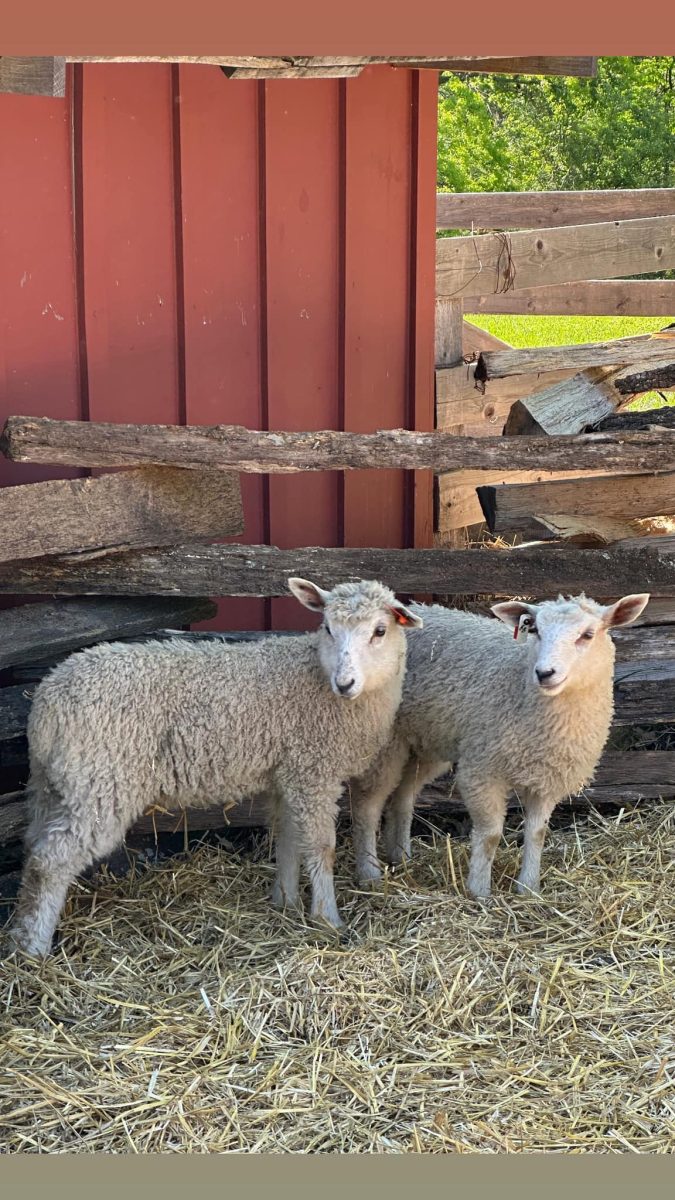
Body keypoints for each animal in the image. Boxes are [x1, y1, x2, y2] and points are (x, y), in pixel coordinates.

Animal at [8, 576, 423, 957]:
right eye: (327, 628)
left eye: (380, 631)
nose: (345, 682)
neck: (319, 682)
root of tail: (47, 701)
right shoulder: (312, 771)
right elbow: (322, 847)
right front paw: (328, 919)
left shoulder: (289, 772)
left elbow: (288, 838)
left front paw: (285, 902)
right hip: (100, 783)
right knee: (51, 861)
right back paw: (35, 949)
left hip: (57, 784)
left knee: (33, 850)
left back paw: (19, 933)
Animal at [350, 592, 650, 899]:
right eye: (536, 630)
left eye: (588, 635)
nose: (544, 673)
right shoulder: (482, 770)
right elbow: (491, 834)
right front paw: (480, 892)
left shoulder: (547, 778)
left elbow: (537, 834)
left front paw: (528, 889)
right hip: (384, 743)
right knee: (367, 806)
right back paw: (370, 875)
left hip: (423, 741)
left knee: (402, 798)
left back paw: (401, 858)